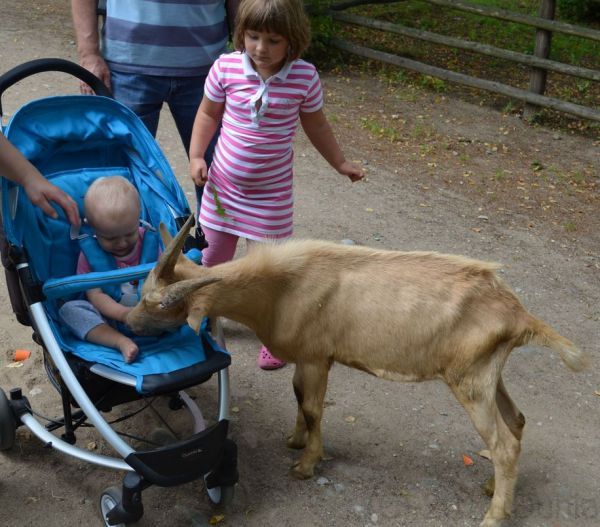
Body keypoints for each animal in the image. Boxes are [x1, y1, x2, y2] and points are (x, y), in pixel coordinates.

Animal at [124, 216, 588, 527]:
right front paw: (294, 441)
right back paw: (494, 490)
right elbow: (298, 398)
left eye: (157, 306)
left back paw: (493, 515)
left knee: (504, 443)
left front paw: (306, 464)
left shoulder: (316, 356)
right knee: (517, 422)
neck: (279, 289)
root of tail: (518, 314)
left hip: (470, 381)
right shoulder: (310, 357)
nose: (128, 325)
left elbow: (314, 408)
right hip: (489, 373)